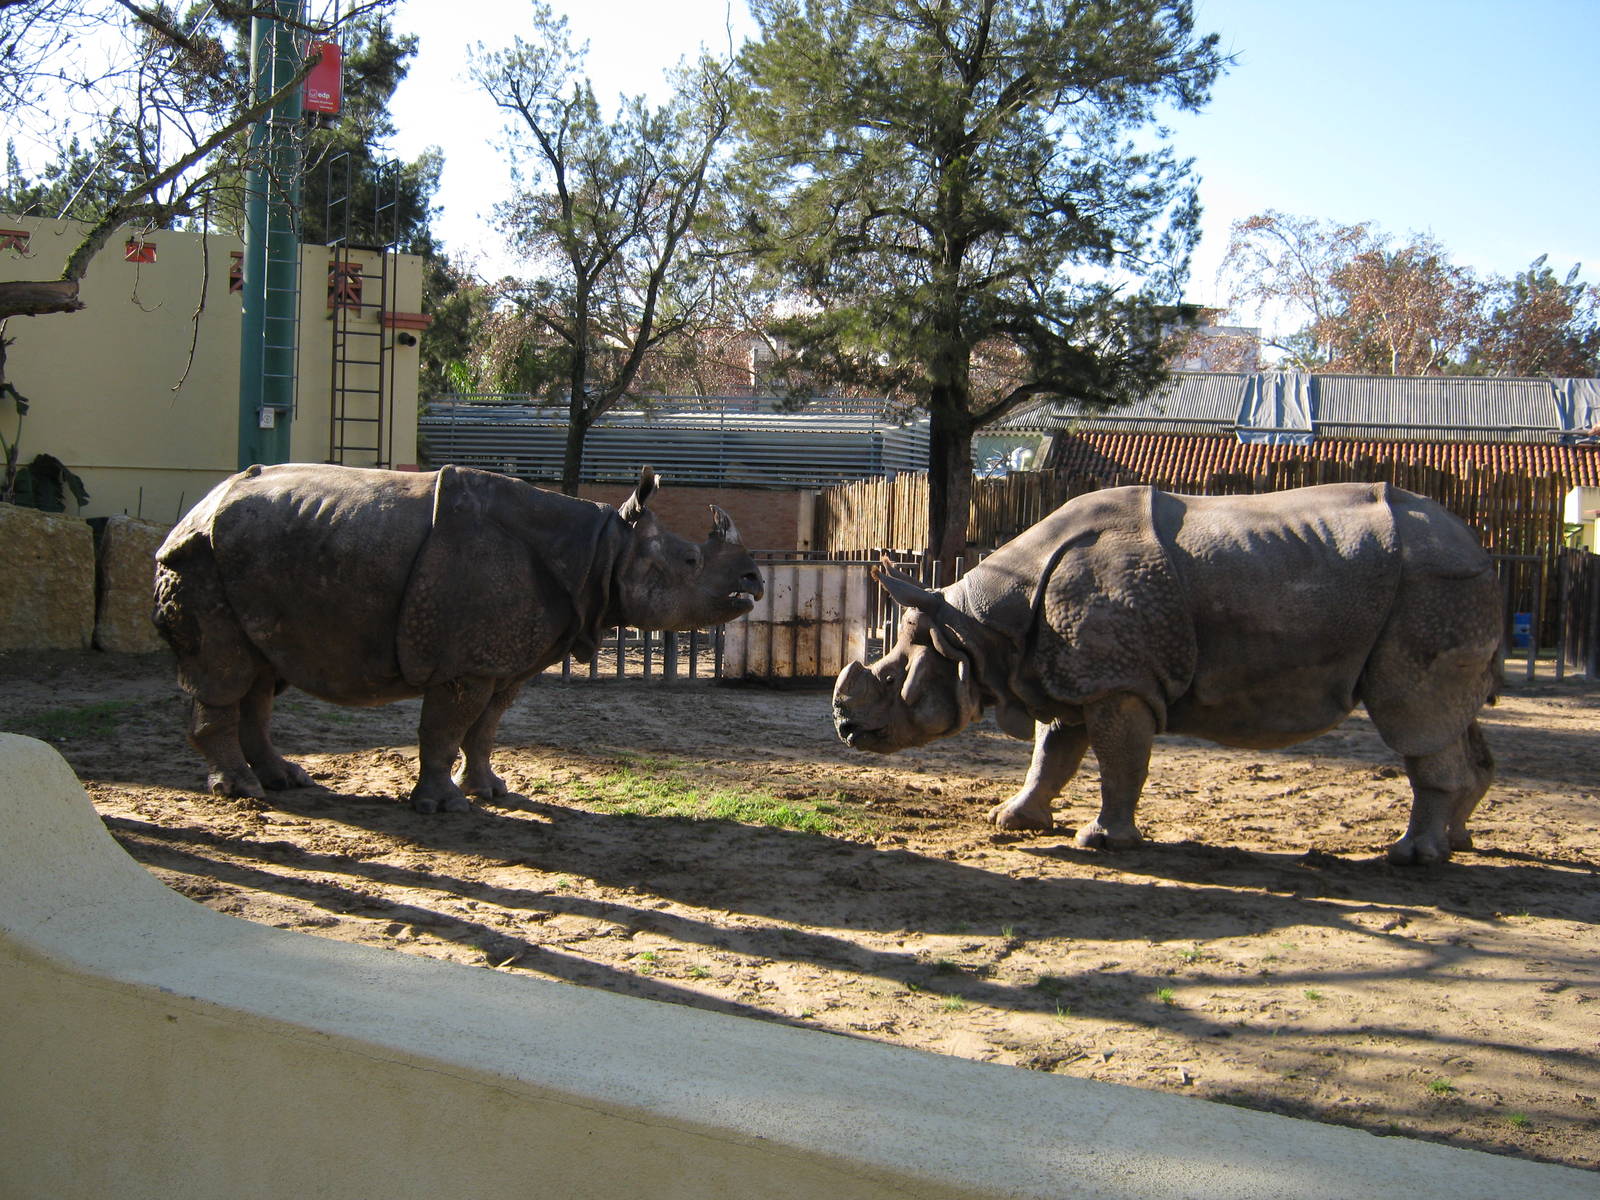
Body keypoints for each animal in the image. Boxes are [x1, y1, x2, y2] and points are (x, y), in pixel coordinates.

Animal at [153, 463, 763, 813]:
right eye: (691, 560)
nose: (756, 580)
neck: (605, 548)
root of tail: (198, 504)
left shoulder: (504, 660)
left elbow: (485, 729)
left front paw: (490, 792)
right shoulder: (465, 662)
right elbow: (445, 729)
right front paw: (443, 807)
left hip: (252, 566)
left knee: (260, 675)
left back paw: (285, 780)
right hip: (201, 560)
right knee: (226, 671)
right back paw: (242, 793)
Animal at [832, 483, 1503, 865]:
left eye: (891, 680)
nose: (843, 725)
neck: (975, 631)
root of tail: (1477, 544)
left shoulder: (1117, 683)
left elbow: (1119, 761)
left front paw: (1102, 842)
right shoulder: (1072, 673)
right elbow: (1052, 755)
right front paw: (1011, 820)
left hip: (1432, 585)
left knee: (1413, 717)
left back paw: (1411, 856)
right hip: (1441, 585)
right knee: (1451, 718)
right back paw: (1457, 843)